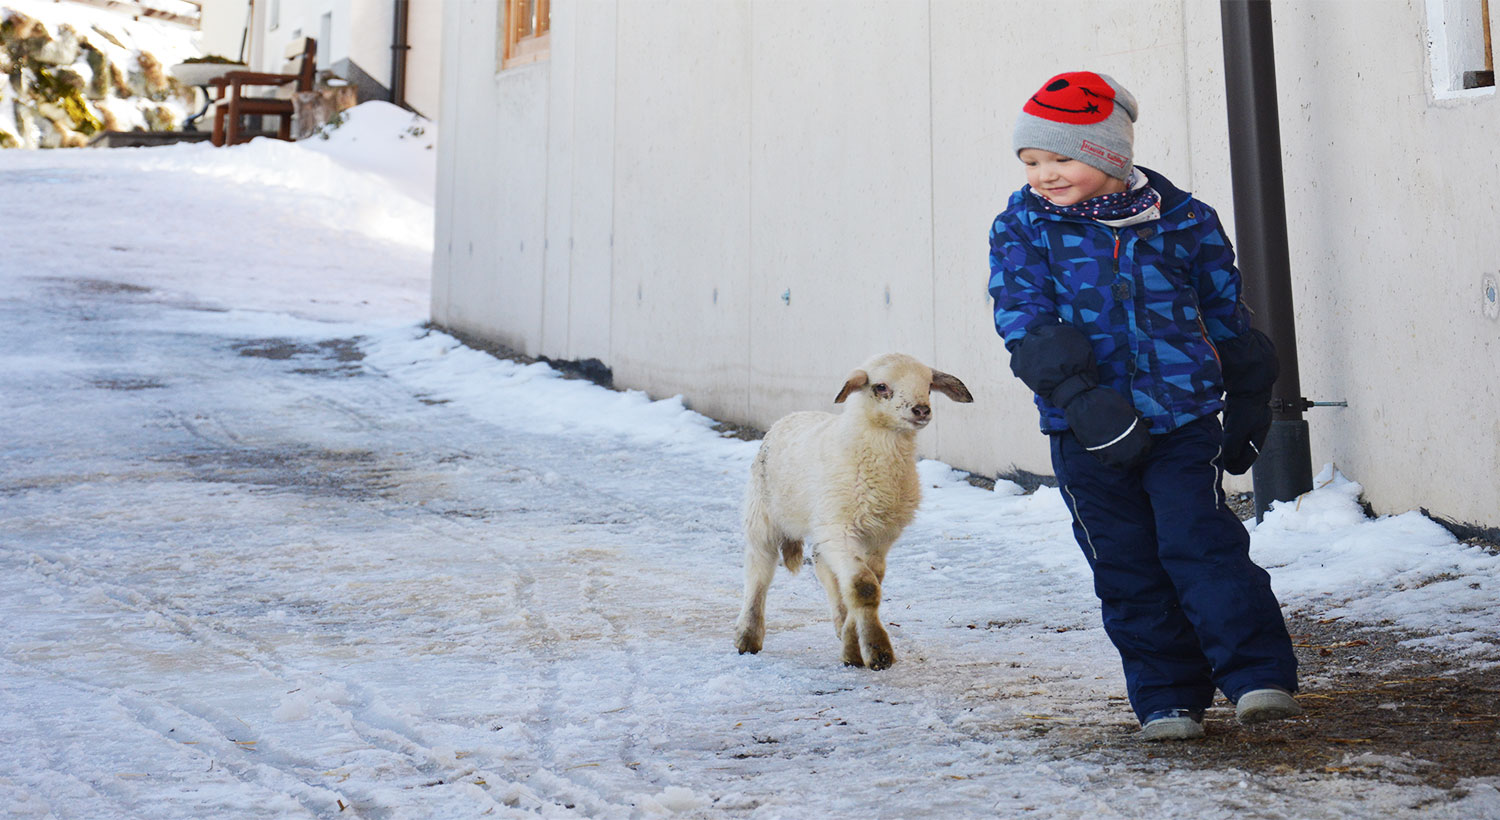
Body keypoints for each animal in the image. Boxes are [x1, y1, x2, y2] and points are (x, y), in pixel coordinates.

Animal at [735, 352, 972, 668]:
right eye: (881, 386)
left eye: (929, 386)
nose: (921, 410)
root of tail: (791, 416)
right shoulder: (841, 531)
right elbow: (864, 586)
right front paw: (878, 652)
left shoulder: (879, 537)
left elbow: (866, 586)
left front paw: (853, 647)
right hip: (763, 516)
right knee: (758, 571)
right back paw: (748, 636)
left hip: (822, 528)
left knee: (823, 568)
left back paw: (838, 623)